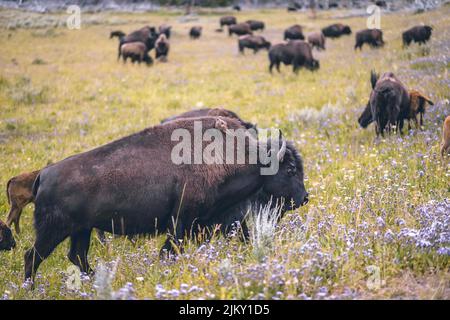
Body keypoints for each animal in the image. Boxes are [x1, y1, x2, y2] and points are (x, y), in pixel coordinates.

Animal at [23, 116, 306, 282]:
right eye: (291, 170)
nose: (304, 197)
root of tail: (43, 175)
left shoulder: (208, 222)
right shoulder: (181, 222)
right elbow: (170, 251)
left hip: (81, 230)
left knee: (77, 255)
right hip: (53, 231)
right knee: (32, 256)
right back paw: (30, 288)